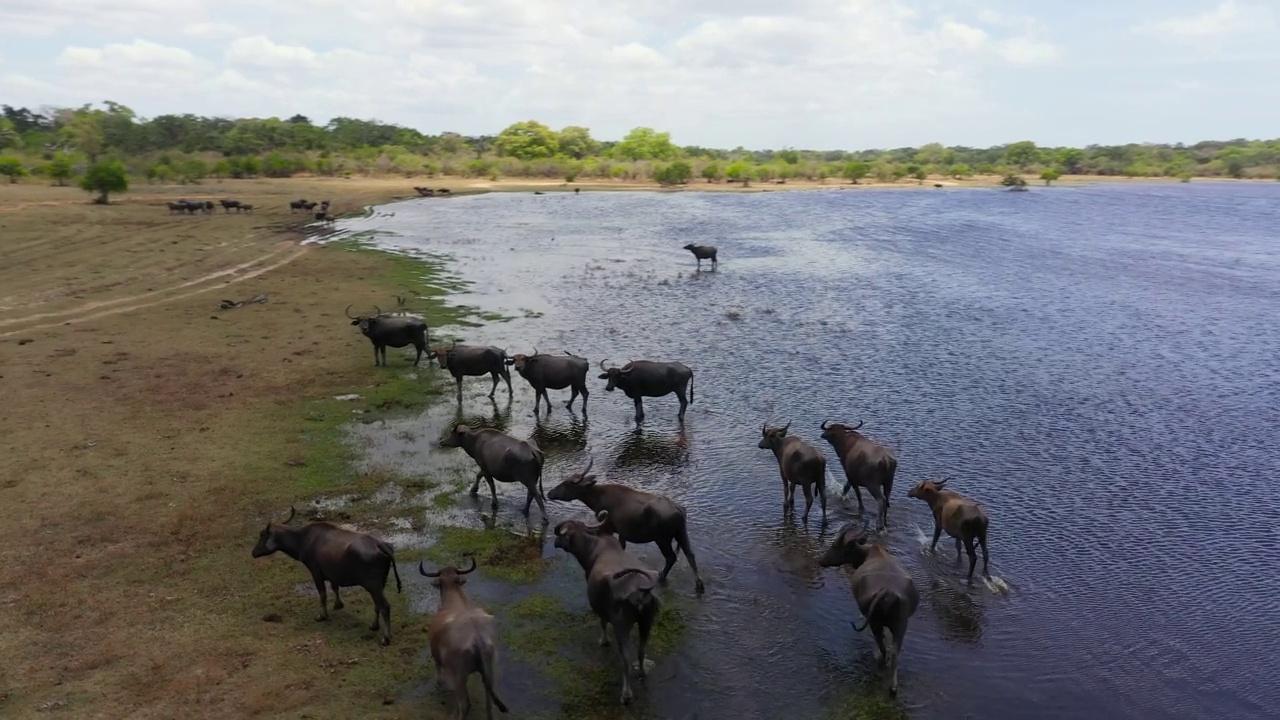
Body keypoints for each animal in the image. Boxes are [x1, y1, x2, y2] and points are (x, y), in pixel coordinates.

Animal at [250, 504, 404, 645]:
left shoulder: (316, 572)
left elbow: (322, 594)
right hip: (379, 585)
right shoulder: (332, 574)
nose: (253, 552)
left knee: (384, 606)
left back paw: (386, 638)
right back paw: (374, 625)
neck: (302, 539)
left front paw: (322, 615)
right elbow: (335, 587)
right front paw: (338, 604)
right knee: (377, 604)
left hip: (374, 585)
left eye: (262, 535)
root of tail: (381, 545)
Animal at [424, 556, 514, 717]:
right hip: (490, 672)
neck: (455, 601)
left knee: (465, 704)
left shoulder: (436, 655)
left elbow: (438, 669)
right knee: (489, 704)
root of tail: (478, 639)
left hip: (459, 676)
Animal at [547, 456, 711, 591]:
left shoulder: (612, 527)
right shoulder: (621, 532)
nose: (549, 493)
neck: (596, 500)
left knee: (671, 557)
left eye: (566, 484)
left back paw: (662, 577)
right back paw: (699, 585)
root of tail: (680, 510)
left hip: (662, 538)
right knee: (690, 554)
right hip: (681, 533)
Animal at [555, 512, 660, 702]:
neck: (594, 549)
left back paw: (626, 694)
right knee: (641, 651)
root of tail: (642, 591)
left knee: (626, 659)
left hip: (622, 625)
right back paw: (642, 673)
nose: (555, 541)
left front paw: (603, 641)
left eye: (564, 534)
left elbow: (602, 623)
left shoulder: (602, 609)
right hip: (647, 622)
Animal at [819, 520, 921, 696]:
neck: (867, 554)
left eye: (834, 546)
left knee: (883, 649)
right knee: (894, 653)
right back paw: (893, 687)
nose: (821, 560)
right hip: (901, 624)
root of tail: (888, 592)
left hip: (875, 622)